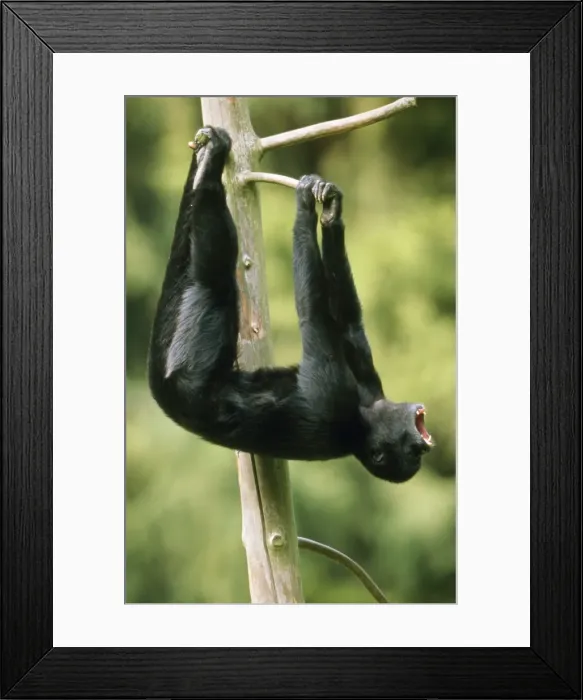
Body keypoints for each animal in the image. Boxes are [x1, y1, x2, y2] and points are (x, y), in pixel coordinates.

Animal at [148, 126, 433, 483]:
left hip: (189, 368)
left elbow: (314, 324)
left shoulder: (331, 397)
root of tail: (168, 402)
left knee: (214, 275)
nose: (423, 446)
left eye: (412, 453)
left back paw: (210, 168)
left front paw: (305, 208)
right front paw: (330, 214)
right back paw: (202, 163)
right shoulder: (366, 384)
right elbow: (349, 323)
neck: (360, 420)